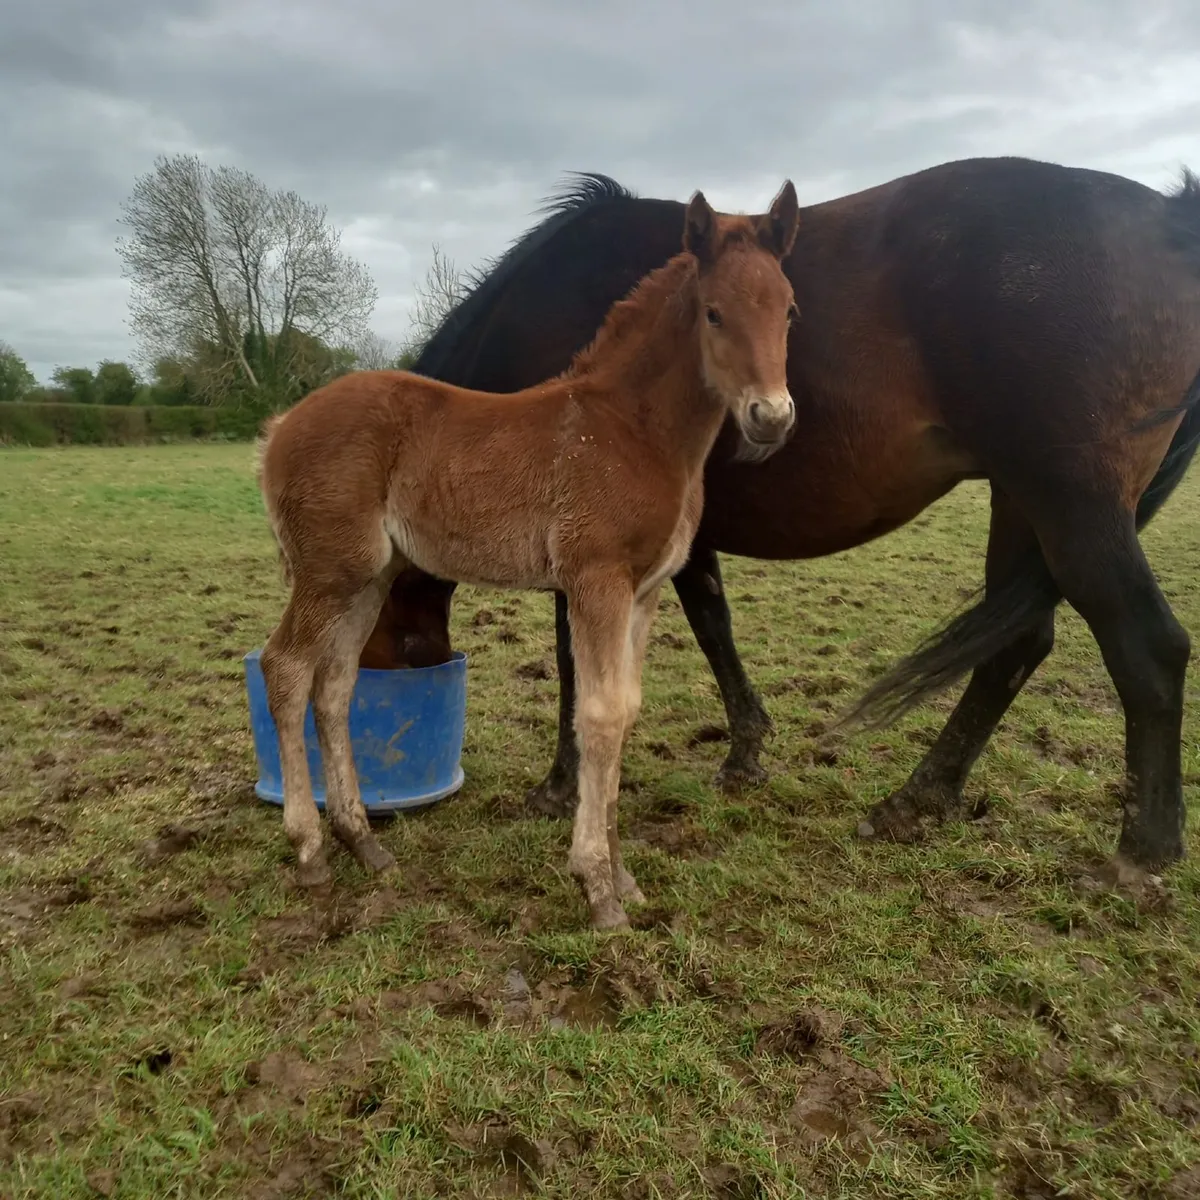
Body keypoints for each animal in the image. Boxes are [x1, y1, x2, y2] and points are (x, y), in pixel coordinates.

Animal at [255, 183, 801, 929]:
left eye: (789, 309)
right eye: (715, 312)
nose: (770, 418)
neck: (632, 428)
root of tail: (281, 427)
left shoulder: (645, 592)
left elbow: (626, 712)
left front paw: (623, 877)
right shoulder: (596, 581)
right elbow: (599, 715)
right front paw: (598, 889)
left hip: (367, 577)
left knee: (335, 684)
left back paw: (362, 841)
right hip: (326, 572)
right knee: (285, 669)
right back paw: (310, 851)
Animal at [372, 155, 1200, 877]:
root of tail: (1167, 218)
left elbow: (582, 657)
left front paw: (558, 784)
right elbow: (712, 625)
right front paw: (745, 755)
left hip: (1073, 504)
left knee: (1149, 649)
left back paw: (1141, 853)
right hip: (1020, 502)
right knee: (1015, 647)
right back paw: (917, 801)